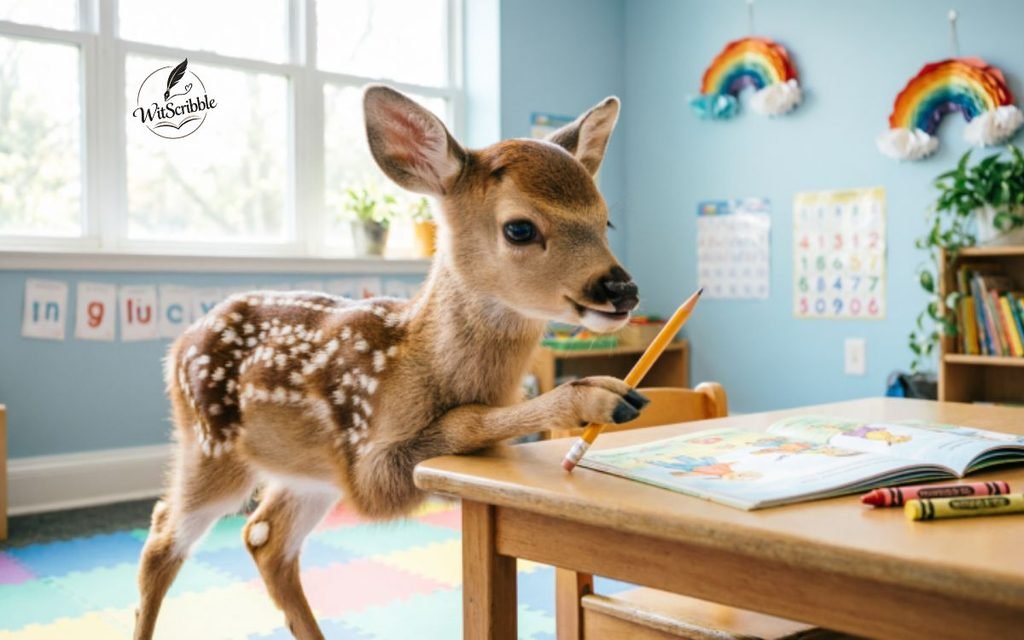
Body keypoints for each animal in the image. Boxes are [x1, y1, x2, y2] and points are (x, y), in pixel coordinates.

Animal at [134, 85, 647, 640]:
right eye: (519, 228)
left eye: (605, 220)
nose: (622, 289)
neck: (413, 359)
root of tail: (178, 346)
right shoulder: (371, 463)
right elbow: (466, 420)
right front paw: (597, 395)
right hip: (211, 446)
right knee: (162, 536)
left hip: (305, 472)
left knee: (263, 538)